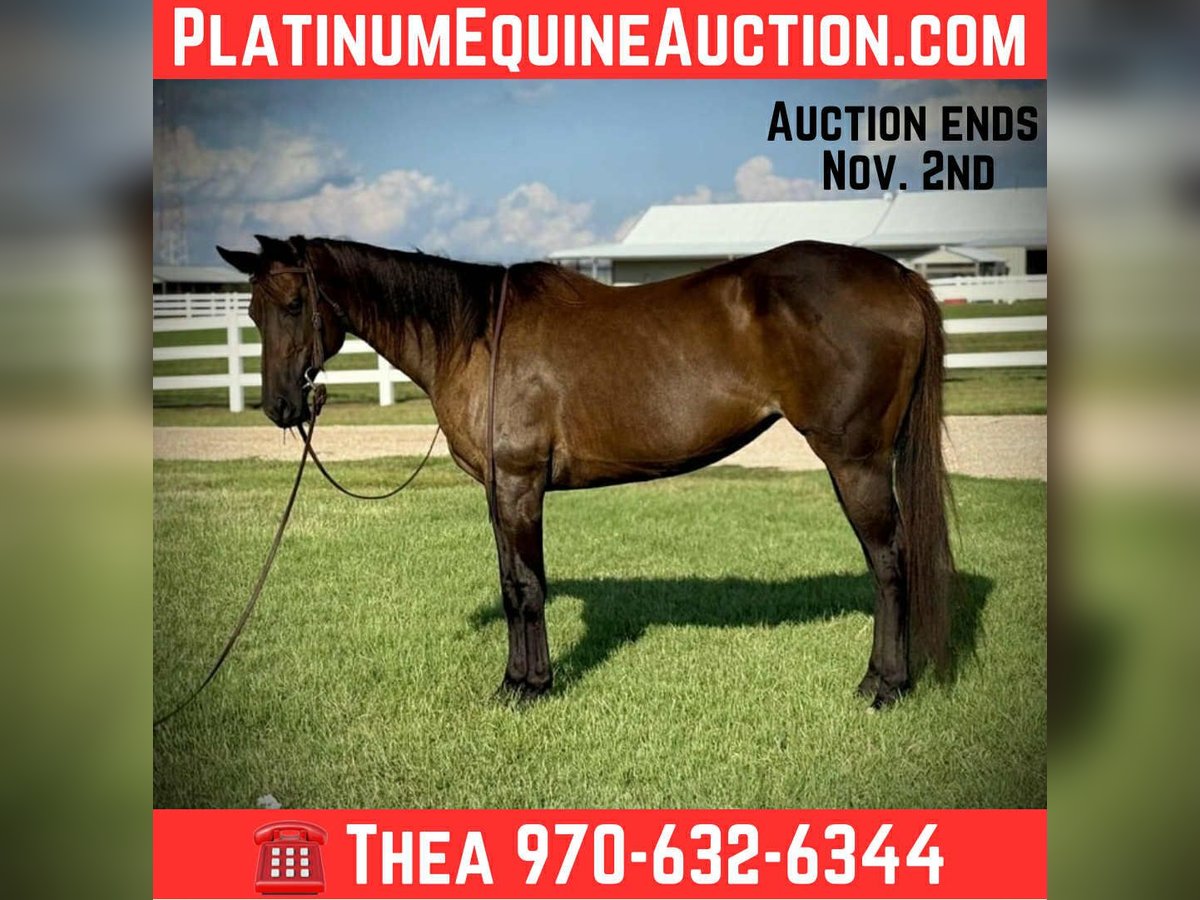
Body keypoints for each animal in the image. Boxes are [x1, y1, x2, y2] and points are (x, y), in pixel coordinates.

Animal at [216, 234, 955, 709]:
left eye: (293, 305)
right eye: (249, 310)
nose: (280, 407)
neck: (475, 336)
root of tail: (900, 278)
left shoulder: (518, 485)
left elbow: (524, 589)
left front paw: (526, 690)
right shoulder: (501, 492)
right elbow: (516, 584)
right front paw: (521, 681)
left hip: (855, 460)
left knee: (889, 563)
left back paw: (883, 686)